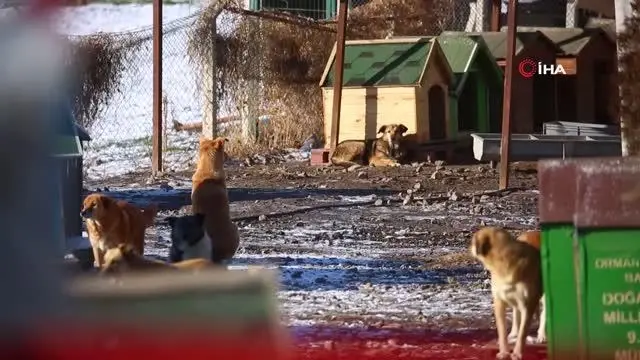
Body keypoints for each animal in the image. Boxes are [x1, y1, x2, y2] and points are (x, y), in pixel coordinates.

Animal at [468, 226, 544, 358]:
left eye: (473, 241)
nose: (468, 248)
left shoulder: (528, 304)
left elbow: (523, 333)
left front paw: (517, 353)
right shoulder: (499, 302)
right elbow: (502, 331)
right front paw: (504, 352)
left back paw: (542, 335)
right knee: (517, 314)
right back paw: (514, 333)